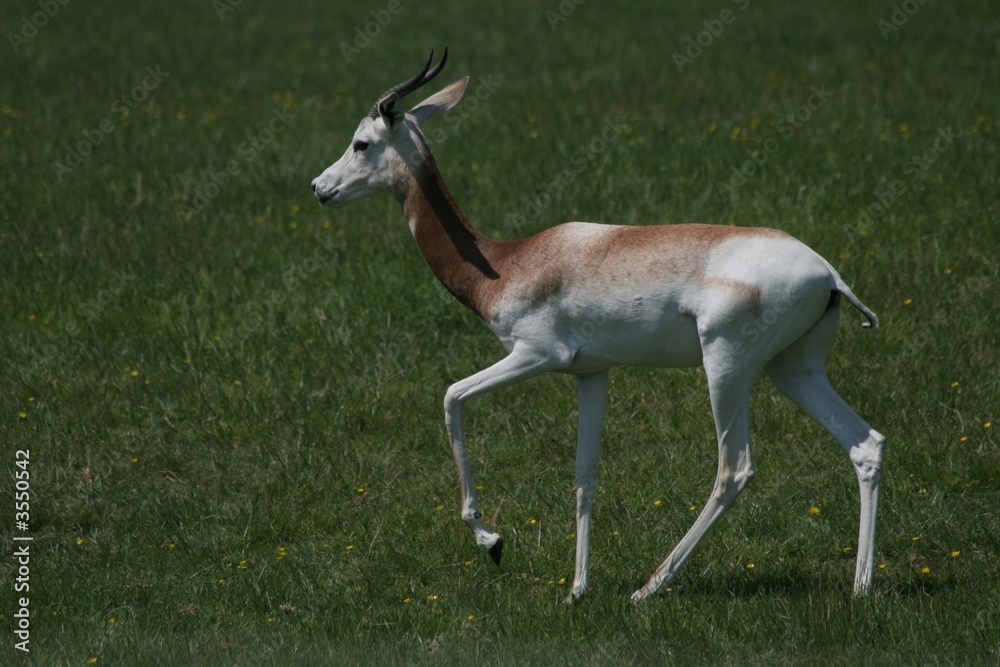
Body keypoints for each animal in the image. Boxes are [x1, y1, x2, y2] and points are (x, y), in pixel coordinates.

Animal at [311, 50, 885, 601]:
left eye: (361, 142)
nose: (319, 187)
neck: (508, 262)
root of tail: (829, 273)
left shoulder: (536, 355)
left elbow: (452, 397)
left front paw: (491, 540)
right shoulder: (592, 373)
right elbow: (585, 474)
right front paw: (576, 589)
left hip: (727, 367)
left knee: (734, 468)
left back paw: (648, 588)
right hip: (792, 368)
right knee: (865, 444)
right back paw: (860, 587)